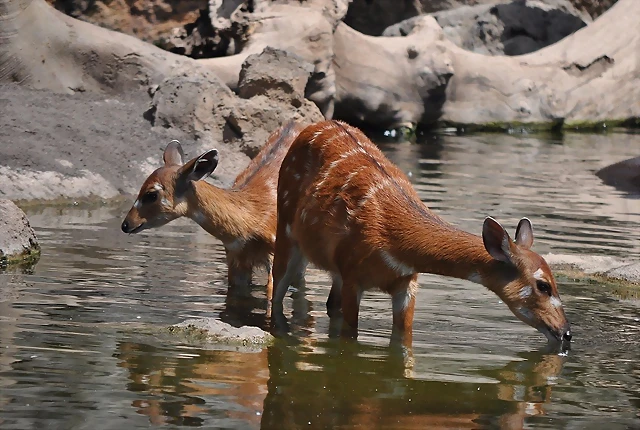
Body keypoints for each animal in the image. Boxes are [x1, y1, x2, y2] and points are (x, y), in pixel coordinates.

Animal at [272, 119, 572, 344]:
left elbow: (403, 341)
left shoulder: (407, 283)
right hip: (285, 229)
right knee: (276, 291)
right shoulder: (352, 277)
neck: (392, 240)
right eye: (543, 285)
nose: (566, 332)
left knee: (328, 304)